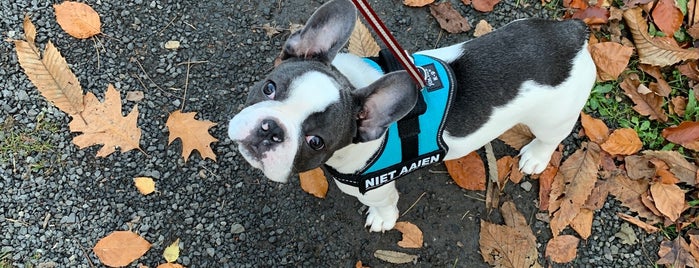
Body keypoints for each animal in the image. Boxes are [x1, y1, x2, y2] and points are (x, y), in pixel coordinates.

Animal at [228, 0, 596, 230]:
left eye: (316, 141)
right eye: (269, 87)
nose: (270, 129)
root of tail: (573, 36)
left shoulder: (375, 189)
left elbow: (384, 203)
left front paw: (382, 219)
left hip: (553, 118)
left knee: (550, 138)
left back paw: (535, 157)